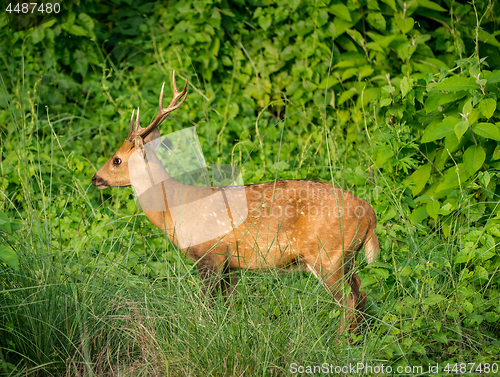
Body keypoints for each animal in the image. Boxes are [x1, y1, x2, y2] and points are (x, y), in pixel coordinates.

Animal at [92, 71, 378, 332]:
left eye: (117, 159)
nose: (96, 178)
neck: (176, 207)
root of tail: (370, 214)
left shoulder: (211, 255)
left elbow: (207, 306)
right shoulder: (231, 264)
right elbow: (229, 307)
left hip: (327, 254)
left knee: (348, 302)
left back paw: (339, 341)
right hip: (346, 256)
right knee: (361, 295)